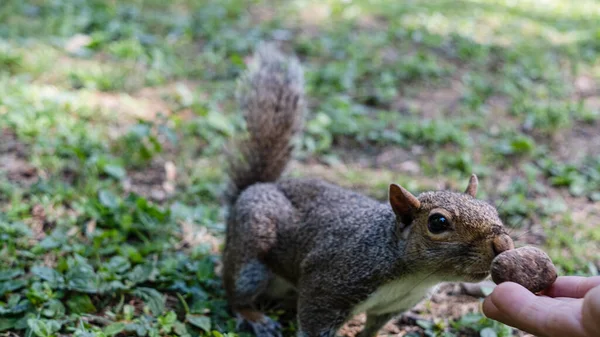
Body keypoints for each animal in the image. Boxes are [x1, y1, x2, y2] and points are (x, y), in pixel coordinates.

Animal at [223, 45, 512, 336]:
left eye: (492, 209)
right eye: (438, 222)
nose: (503, 245)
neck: (412, 276)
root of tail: (257, 187)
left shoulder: (393, 305)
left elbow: (373, 327)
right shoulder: (327, 287)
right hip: (251, 251)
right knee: (235, 294)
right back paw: (255, 317)